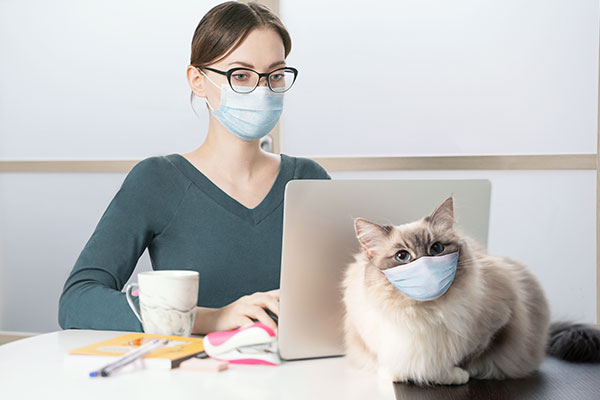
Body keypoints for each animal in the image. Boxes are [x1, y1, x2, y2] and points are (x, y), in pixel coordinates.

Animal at [342, 195, 600, 390]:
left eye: (436, 248)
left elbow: (466, 357)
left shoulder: (497, 323)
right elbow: (386, 361)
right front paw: (396, 374)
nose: (426, 264)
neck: (425, 313)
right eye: (402, 256)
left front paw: (450, 375)